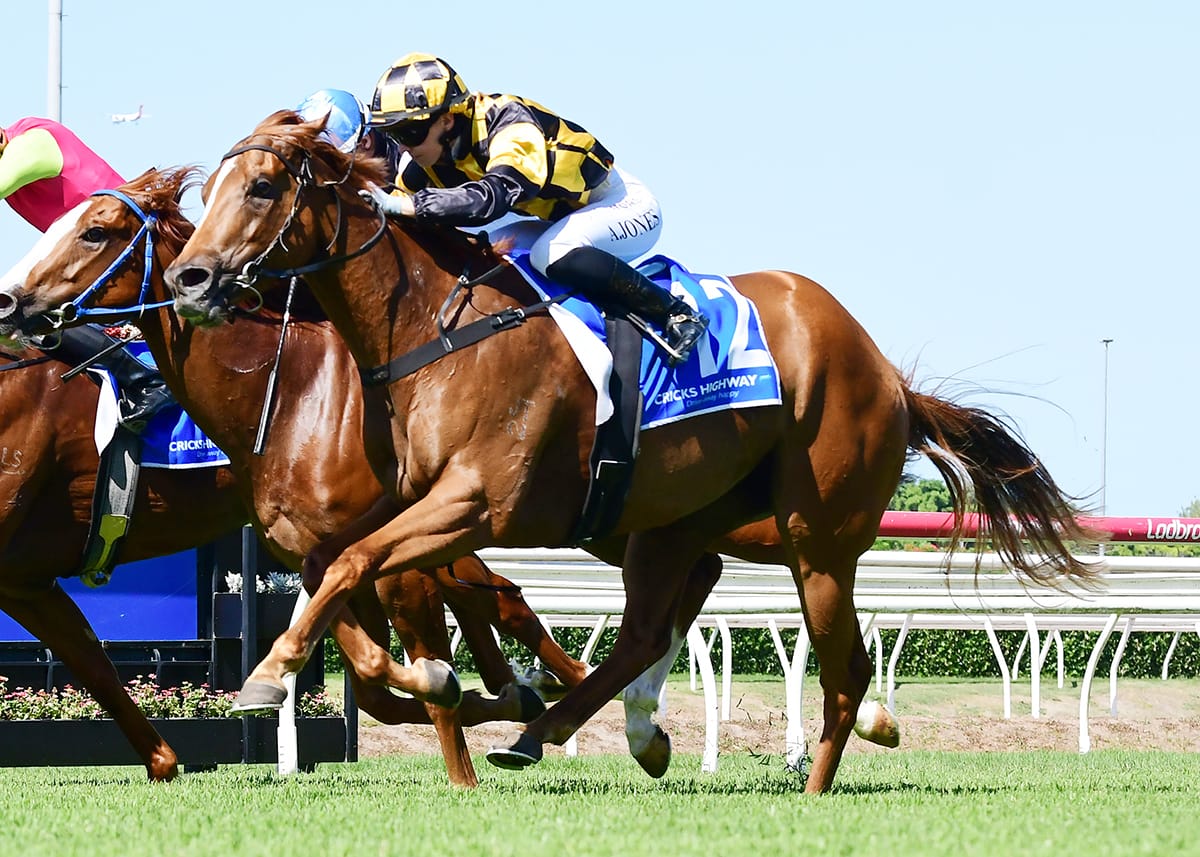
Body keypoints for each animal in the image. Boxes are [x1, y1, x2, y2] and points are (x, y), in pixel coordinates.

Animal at [0, 167, 592, 788]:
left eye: (94, 231)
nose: (10, 302)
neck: (288, 390)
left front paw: (464, 771)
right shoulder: (25, 578)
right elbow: (92, 660)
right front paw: (165, 761)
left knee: (496, 598)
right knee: (485, 599)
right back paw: (530, 691)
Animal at [163, 112, 1096, 793]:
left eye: (261, 185)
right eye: (209, 189)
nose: (190, 279)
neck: (438, 329)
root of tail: (887, 373)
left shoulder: (474, 503)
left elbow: (358, 565)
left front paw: (274, 673)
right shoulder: (407, 508)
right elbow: (350, 571)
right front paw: (449, 683)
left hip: (817, 537)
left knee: (845, 666)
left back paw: (812, 782)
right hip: (673, 520)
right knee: (650, 629)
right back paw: (557, 733)